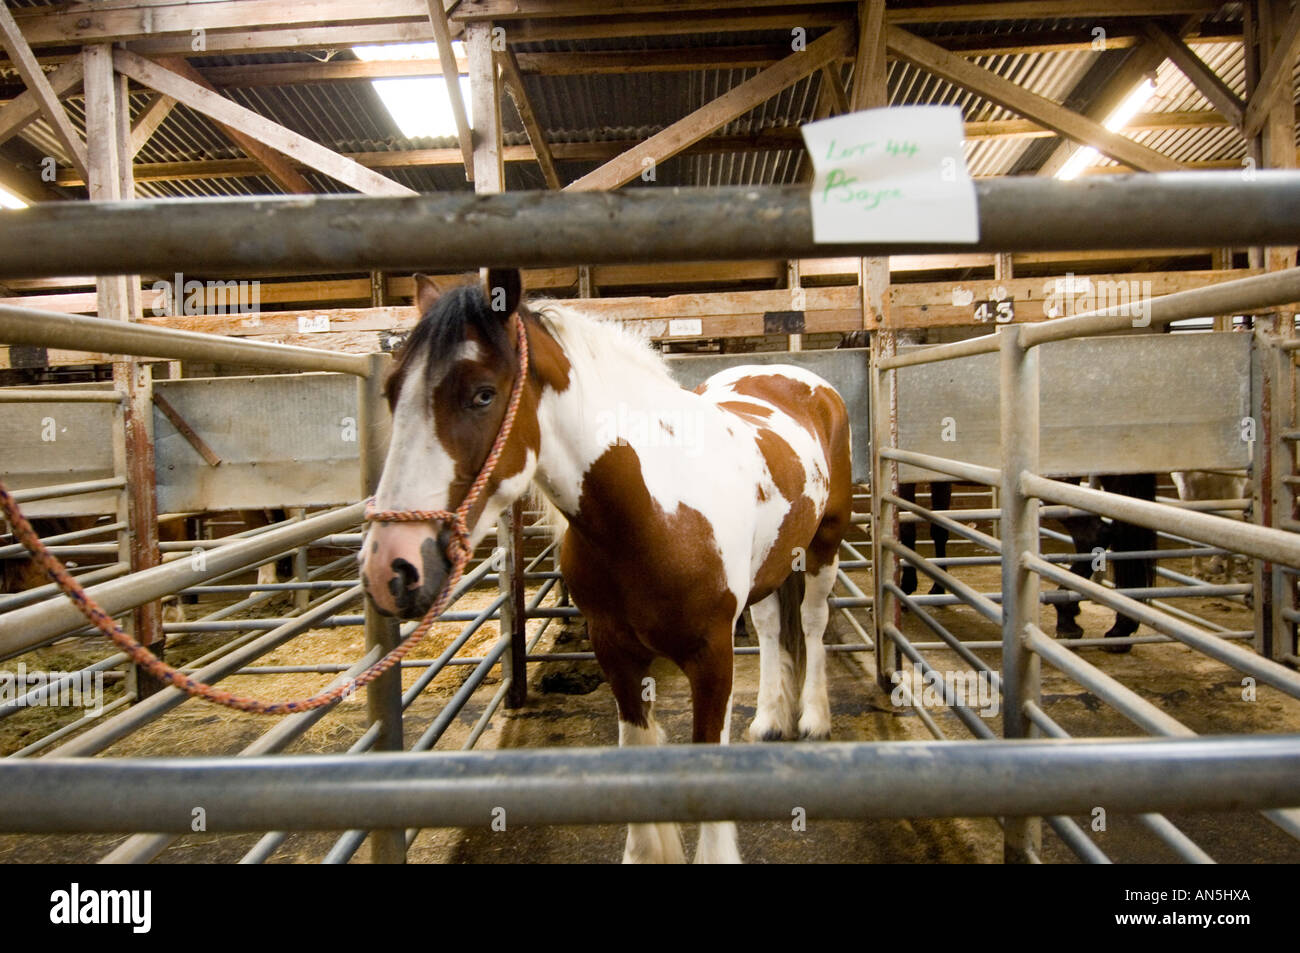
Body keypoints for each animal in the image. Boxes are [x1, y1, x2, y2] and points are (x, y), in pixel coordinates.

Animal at [361, 267, 857, 863]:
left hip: (824, 544)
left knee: (811, 620)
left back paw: (812, 719)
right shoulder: (615, 650)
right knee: (767, 627)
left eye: (482, 394)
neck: (655, 508)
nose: (391, 566)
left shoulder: (711, 655)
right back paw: (768, 721)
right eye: (391, 392)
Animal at [842, 330, 1159, 650]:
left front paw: (906, 589)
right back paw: (1118, 627)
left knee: (1095, 536)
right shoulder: (940, 478)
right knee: (1122, 539)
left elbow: (906, 531)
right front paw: (937, 587)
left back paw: (1069, 616)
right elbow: (939, 529)